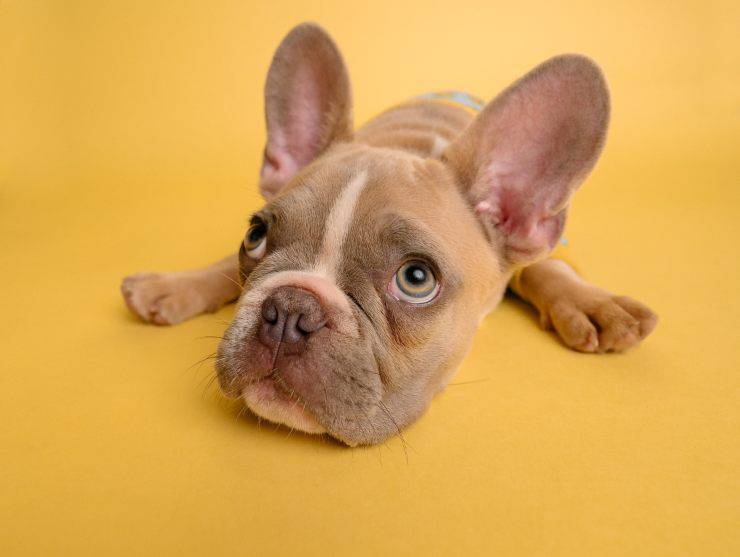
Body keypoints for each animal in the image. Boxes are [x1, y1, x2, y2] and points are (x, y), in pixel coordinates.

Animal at [123, 22, 660, 448]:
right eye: (255, 235)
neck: (412, 144)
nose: (290, 309)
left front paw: (589, 302)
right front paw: (174, 285)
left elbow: (544, 268)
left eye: (416, 279)